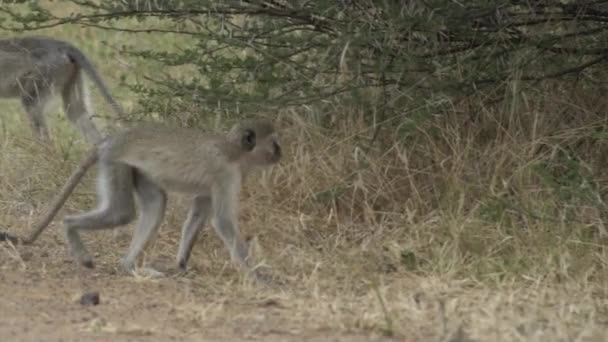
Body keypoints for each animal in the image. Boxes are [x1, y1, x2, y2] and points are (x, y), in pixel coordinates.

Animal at [0, 119, 284, 282]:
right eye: (274, 143)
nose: (281, 152)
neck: (235, 152)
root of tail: (113, 140)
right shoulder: (225, 174)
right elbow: (223, 221)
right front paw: (257, 277)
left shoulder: (217, 182)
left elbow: (198, 215)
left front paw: (181, 264)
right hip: (116, 163)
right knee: (120, 212)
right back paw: (73, 231)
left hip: (138, 170)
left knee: (156, 205)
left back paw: (129, 267)